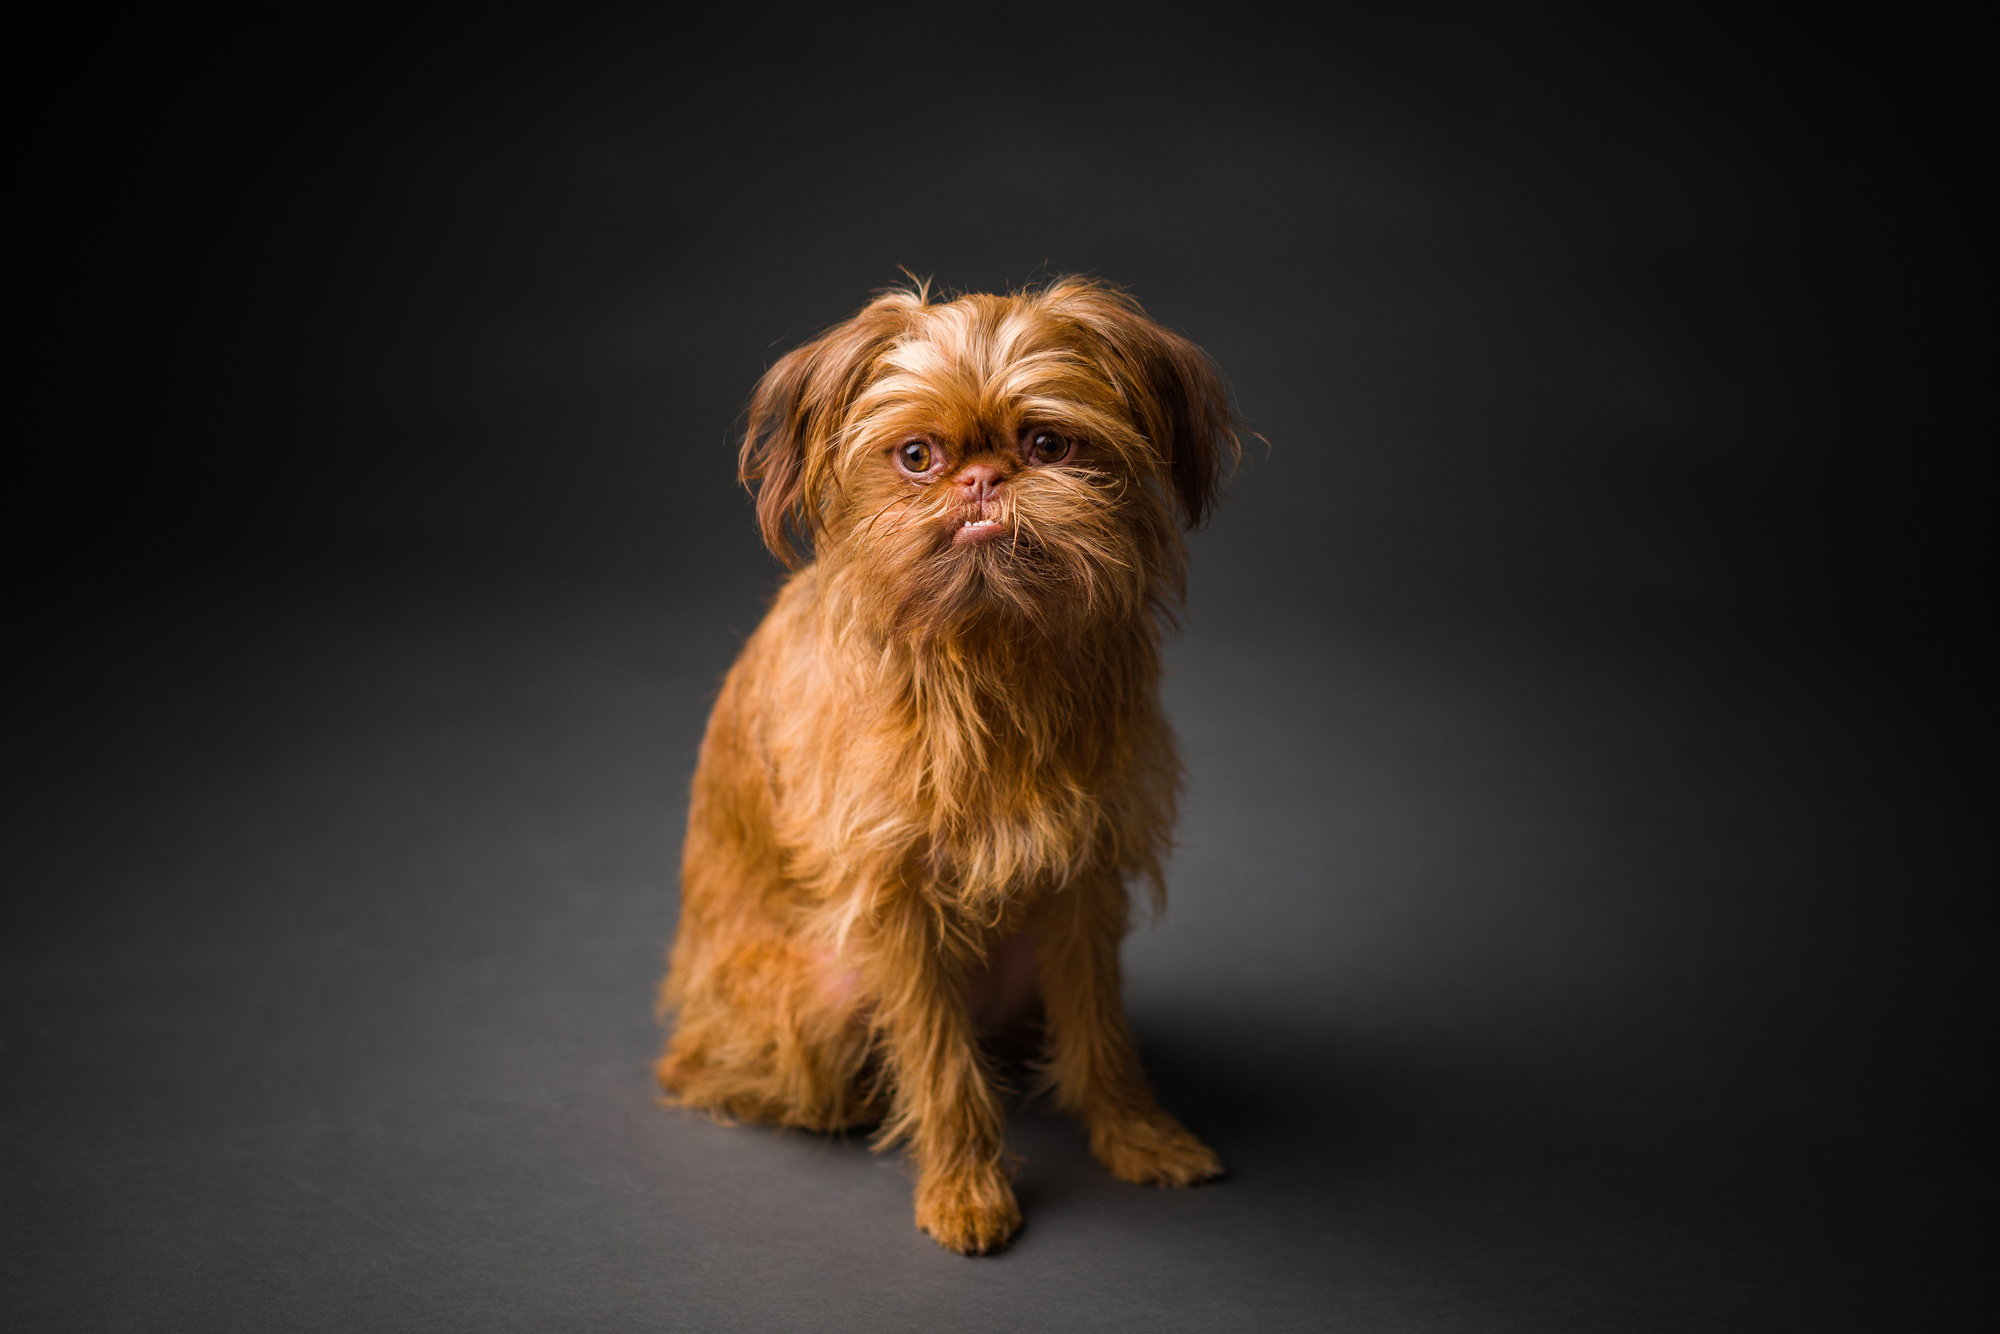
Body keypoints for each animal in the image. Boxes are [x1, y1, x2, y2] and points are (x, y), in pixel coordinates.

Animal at [660, 276, 1232, 1256]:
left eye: (1049, 444)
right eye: (918, 456)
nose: (981, 479)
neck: (993, 653)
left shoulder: (1082, 880)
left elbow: (1102, 1031)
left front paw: (1136, 1135)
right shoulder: (898, 909)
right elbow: (938, 1061)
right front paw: (965, 1190)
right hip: (819, 995)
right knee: (718, 1075)